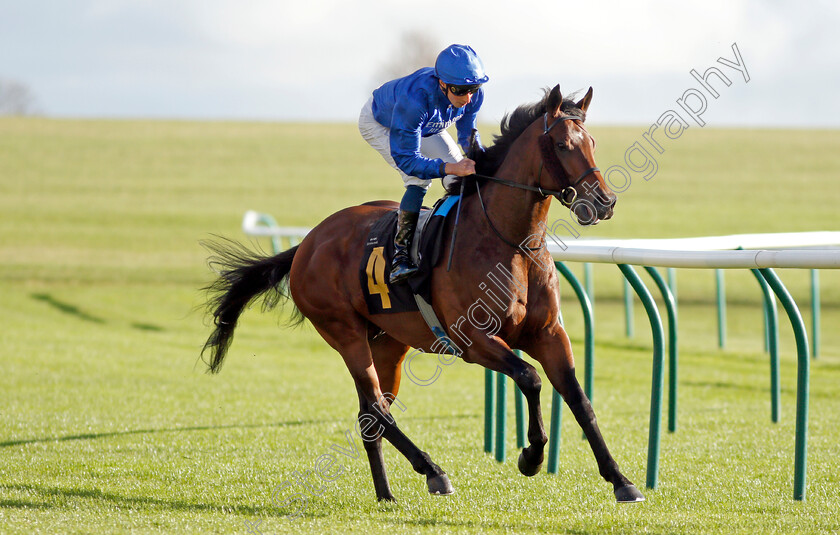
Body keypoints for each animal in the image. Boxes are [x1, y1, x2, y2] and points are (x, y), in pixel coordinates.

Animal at [202, 86, 644, 504]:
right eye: (563, 144)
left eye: (592, 142)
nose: (605, 201)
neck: (511, 244)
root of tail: (308, 243)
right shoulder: (475, 341)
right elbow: (530, 378)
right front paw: (531, 457)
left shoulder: (548, 333)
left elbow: (579, 399)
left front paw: (621, 480)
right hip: (344, 332)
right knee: (377, 407)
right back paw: (433, 472)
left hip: (388, 343)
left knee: (369, 415)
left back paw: (386, 493)